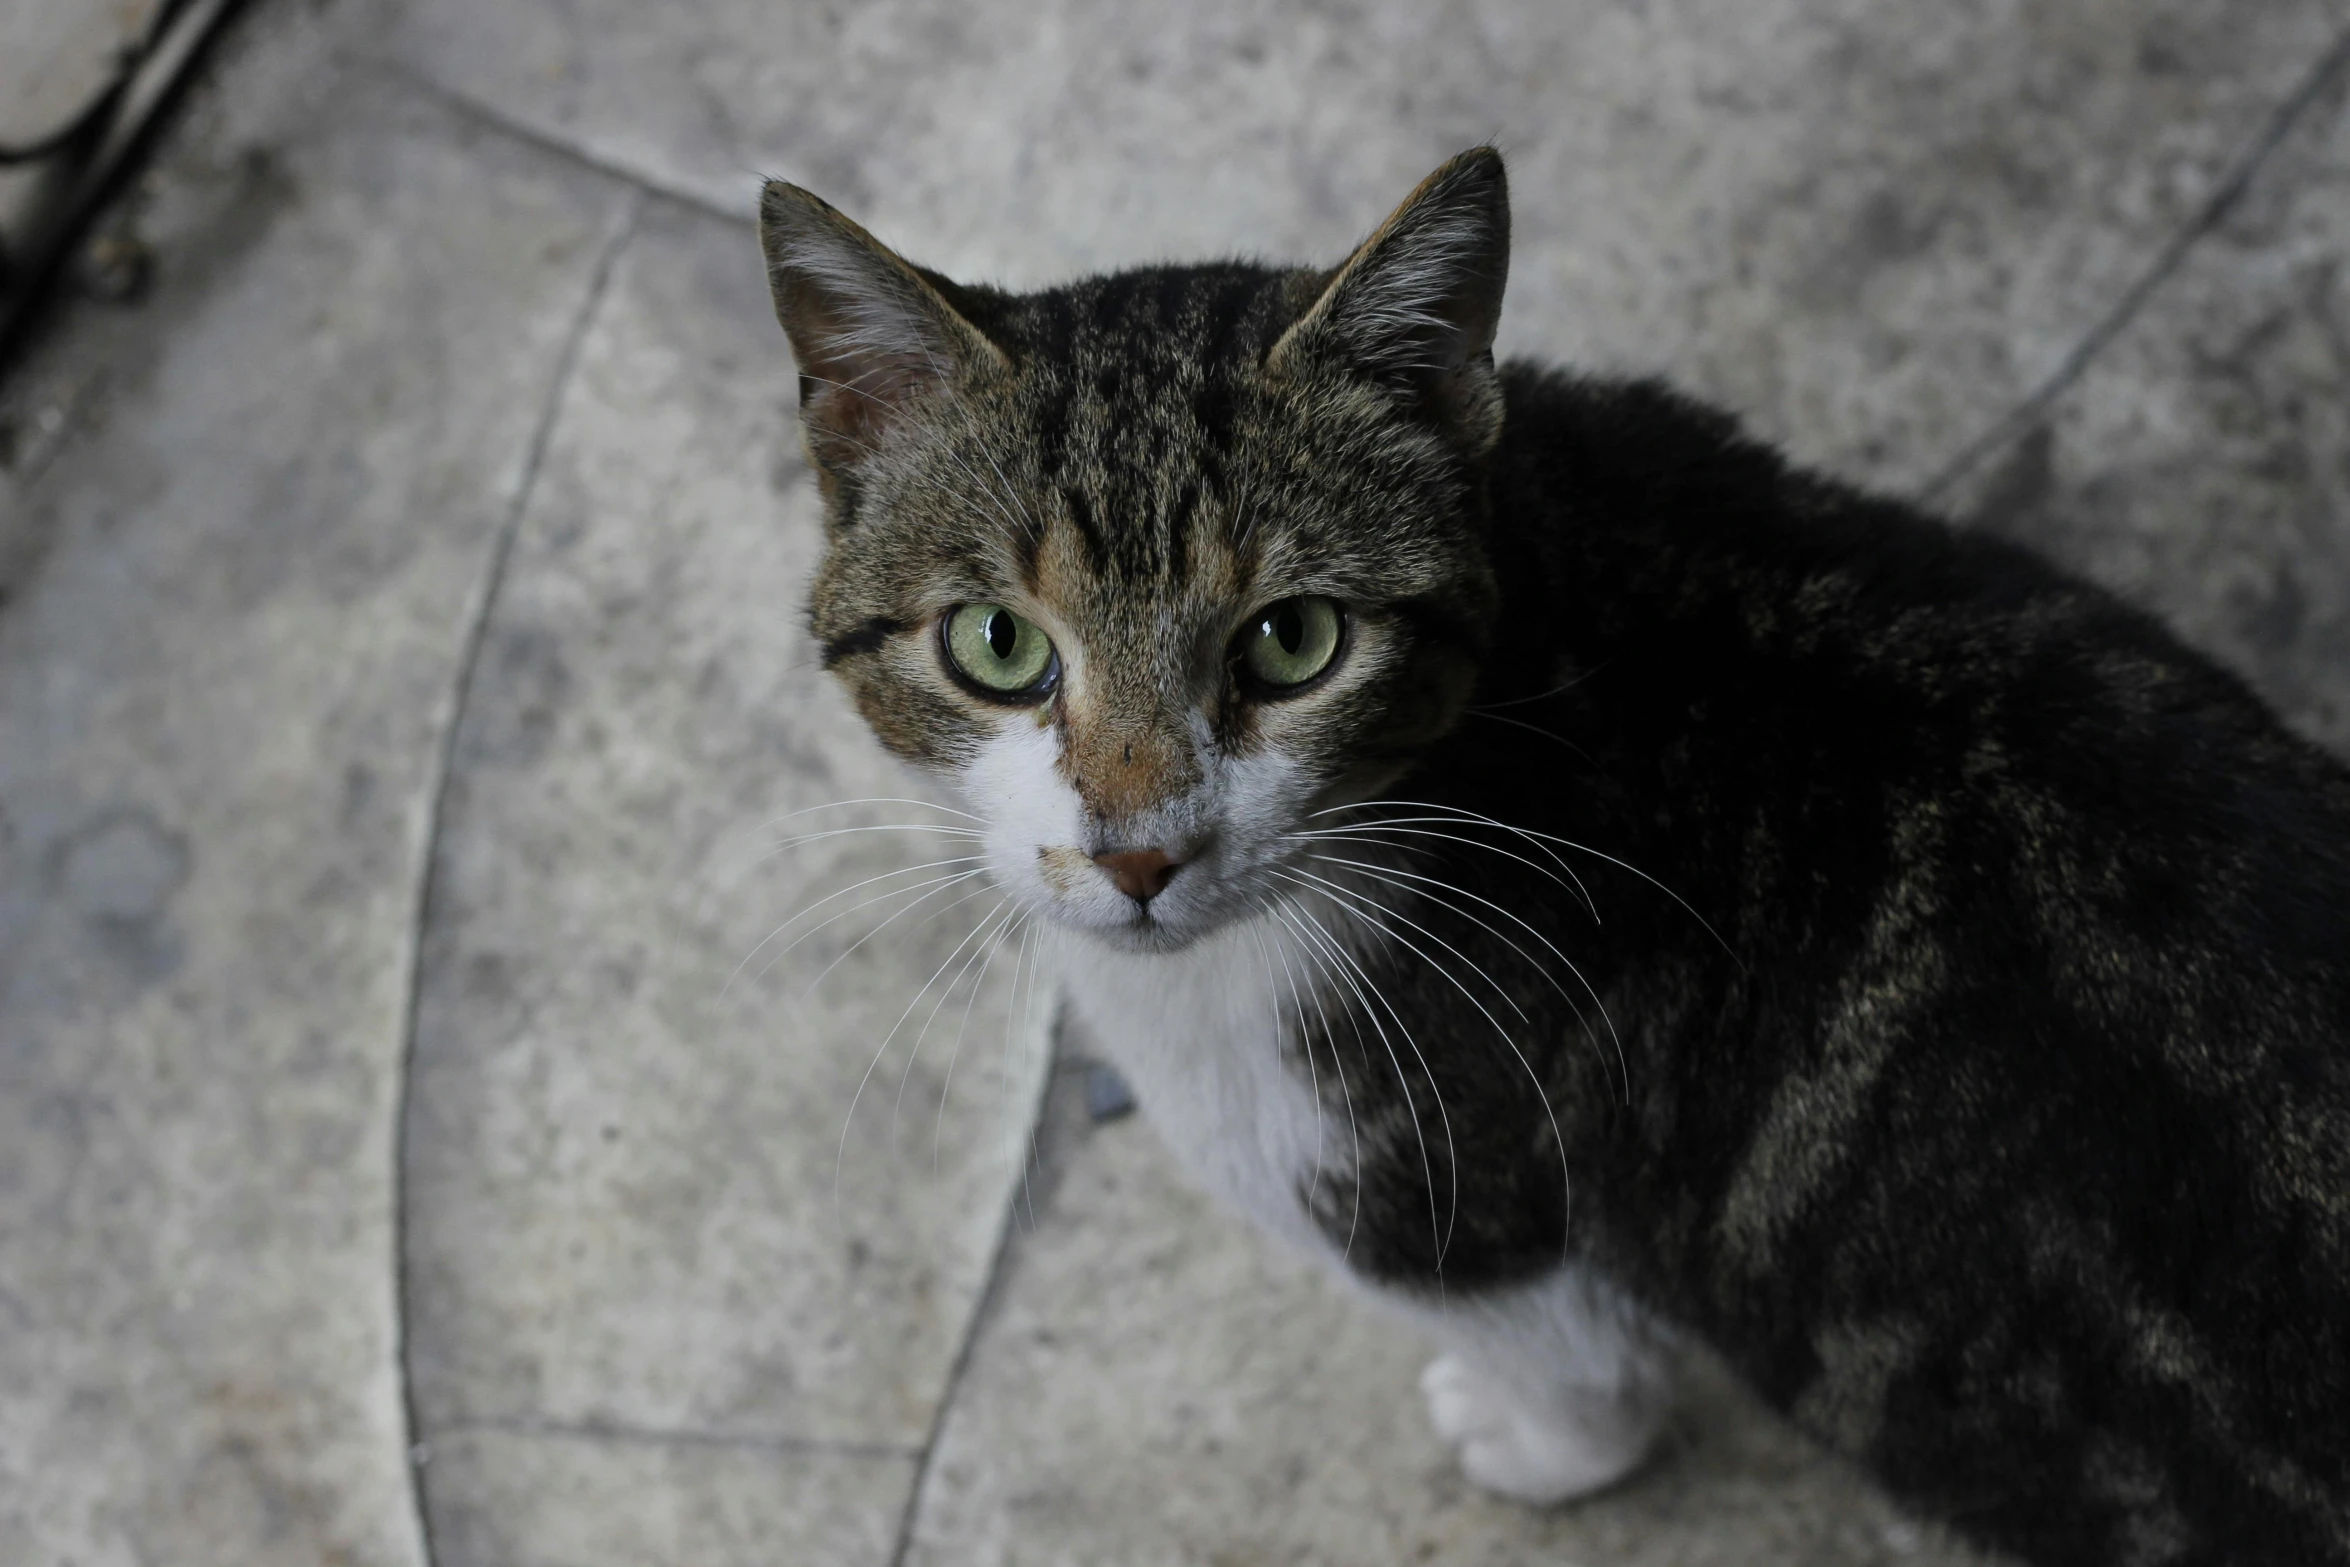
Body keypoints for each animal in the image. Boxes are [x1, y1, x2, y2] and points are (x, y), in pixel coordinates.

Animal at [752, 150, 2350, 1567]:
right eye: (996, 644)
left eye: (1293, 639)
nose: (1140, 851)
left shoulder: (1436, 1183)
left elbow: (1578, 1366)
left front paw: (1525, 1442)